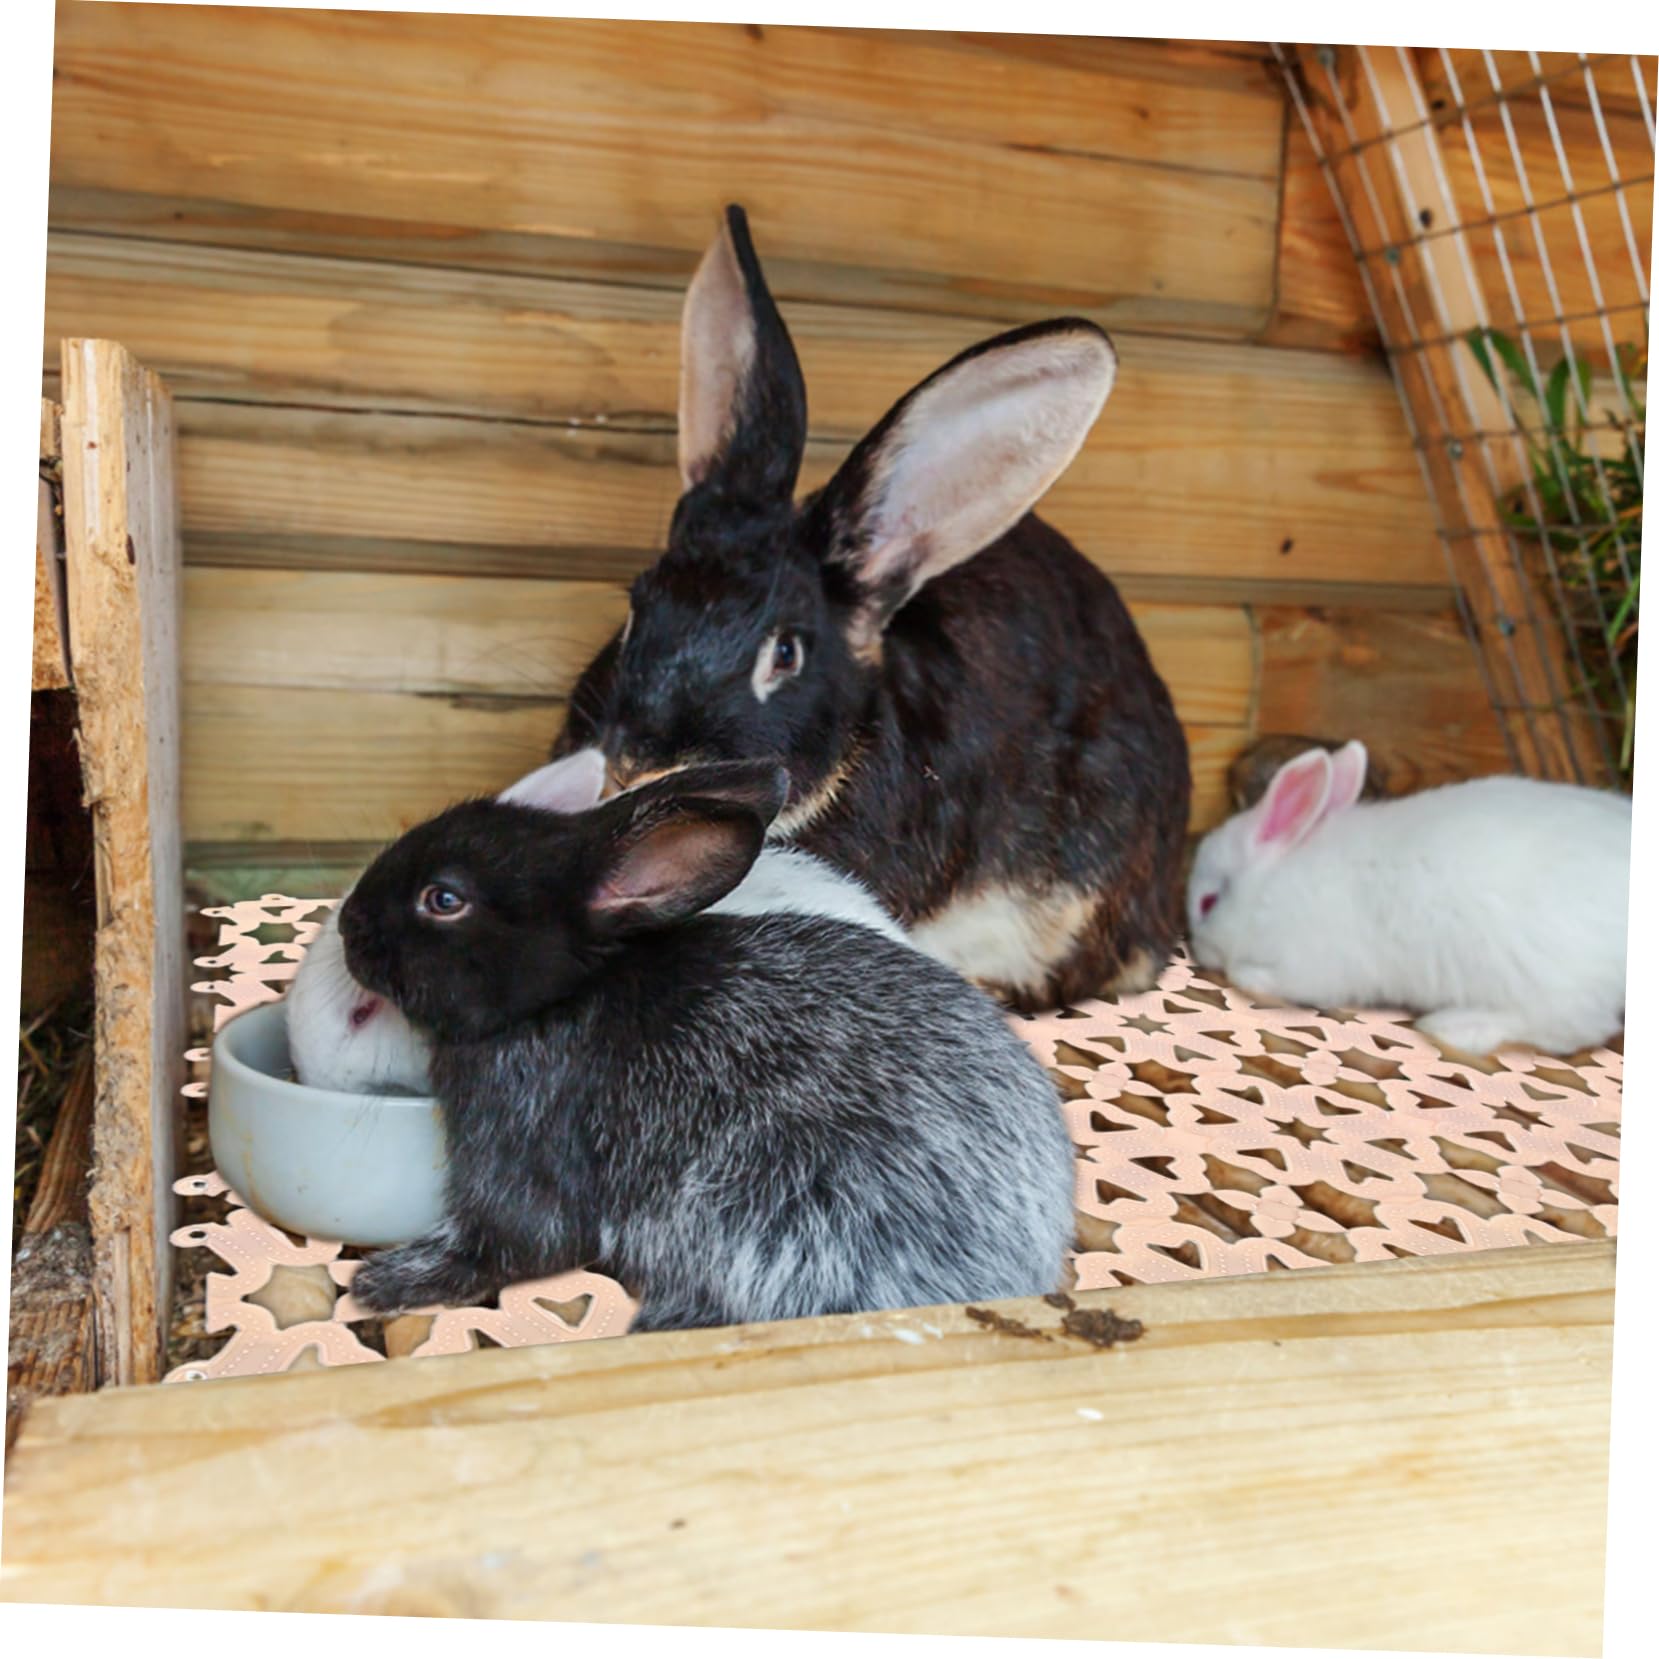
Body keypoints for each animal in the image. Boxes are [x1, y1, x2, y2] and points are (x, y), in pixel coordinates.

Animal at [333, 749, 1077, 1331]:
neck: (564, 996)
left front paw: (383, 1284)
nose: (347, 924)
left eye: (444, 899)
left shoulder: (523, 1147)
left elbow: (515, 1242)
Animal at [1186, 740, 1631, 1057]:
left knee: (1571, 1027)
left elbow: (1262, 976)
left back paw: (1455, 1026)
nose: (1199, 951)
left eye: (1208, 903)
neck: (1270, 887)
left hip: (1544, 978)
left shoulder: (1314, 963)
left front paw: (1248, 975)